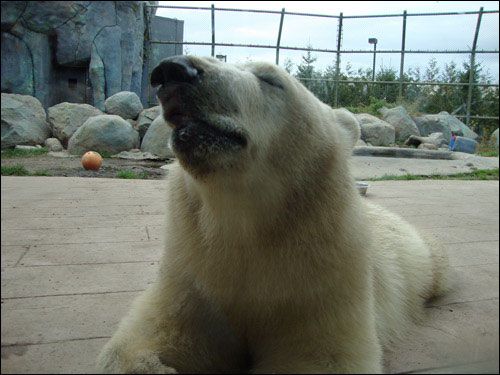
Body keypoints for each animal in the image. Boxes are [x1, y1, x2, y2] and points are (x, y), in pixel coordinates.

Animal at [95, 55, 452, 374]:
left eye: (270, 79)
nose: (173, 70)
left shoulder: (322, 280)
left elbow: (323, 356)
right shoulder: (192, 272)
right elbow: (151, 335)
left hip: (418, 256)